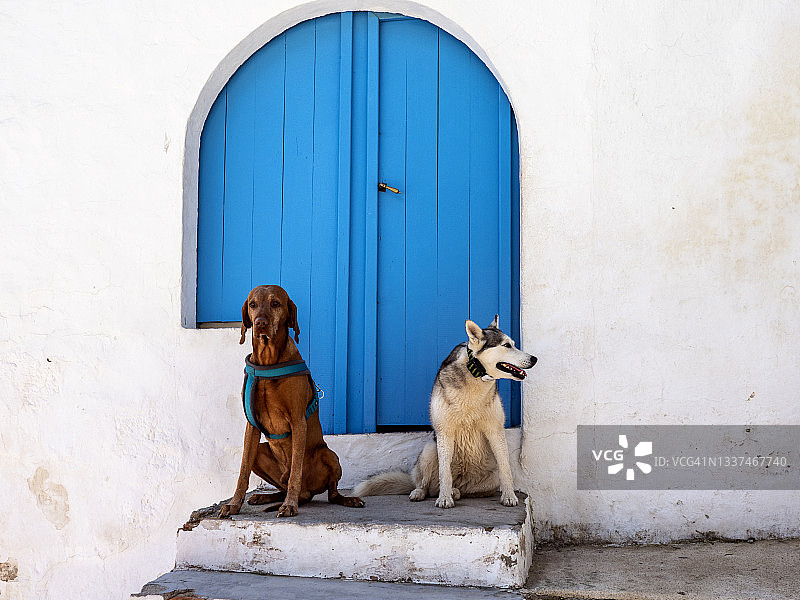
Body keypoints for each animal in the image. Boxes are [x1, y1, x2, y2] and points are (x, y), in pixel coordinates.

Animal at [217, 284, 364, 516]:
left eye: (275, 303)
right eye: (253, 304)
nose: (260, 323)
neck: (268, 363)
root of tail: (308, 492)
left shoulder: (297, 421)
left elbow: (296, 469)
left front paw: (289, 505)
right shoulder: (251, 425)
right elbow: (243, 471)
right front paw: (234, 504)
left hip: (328, 454)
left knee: (329, 493)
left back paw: (344, 499)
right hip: (261, 452)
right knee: (283, 485)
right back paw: (264, 497)